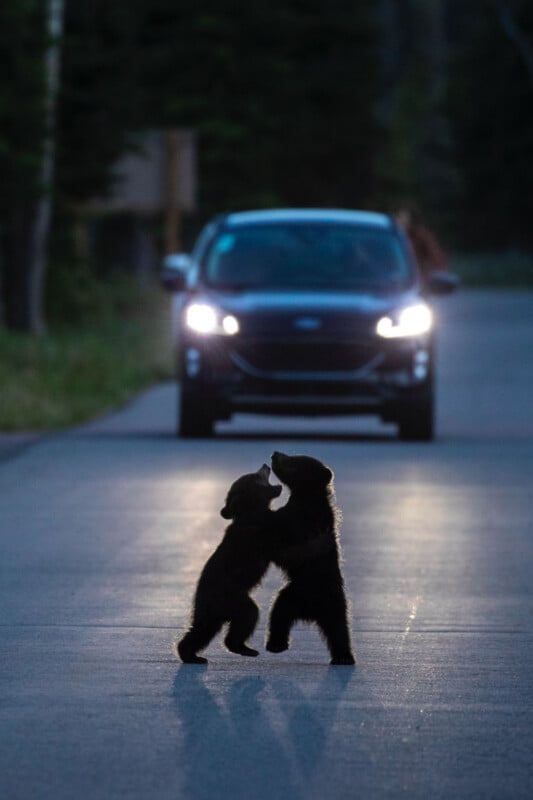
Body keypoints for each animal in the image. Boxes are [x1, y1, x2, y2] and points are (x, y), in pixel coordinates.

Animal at [176, 464, 282, 664]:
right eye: (255, 475)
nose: (265, 465)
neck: (251, 512)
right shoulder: (259, 533)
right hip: (232, 598)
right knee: (248, 615)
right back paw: (243, 648)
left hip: (212, 611)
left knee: (202, 630)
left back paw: (192, 655)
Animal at [266, 451, 356, 665]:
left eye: (294, 460)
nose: (275, 454)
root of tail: (312, 612)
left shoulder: (298, 518)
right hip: (328, 603)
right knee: (340, 631)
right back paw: (344, 656)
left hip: (309, 595)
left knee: (279, 611)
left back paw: (276, 644)